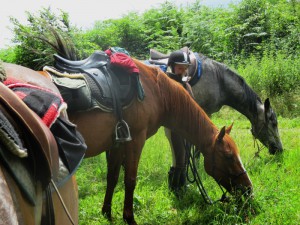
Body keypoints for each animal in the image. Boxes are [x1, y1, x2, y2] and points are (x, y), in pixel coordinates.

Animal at [2, 58, 253, 225]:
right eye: (229, 156)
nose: (248, 191)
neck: (157, 90)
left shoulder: (117, 143)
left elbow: (113, 178)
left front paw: (107, 212)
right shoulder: (135, 141)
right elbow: (130, 180)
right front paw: (129, 217)